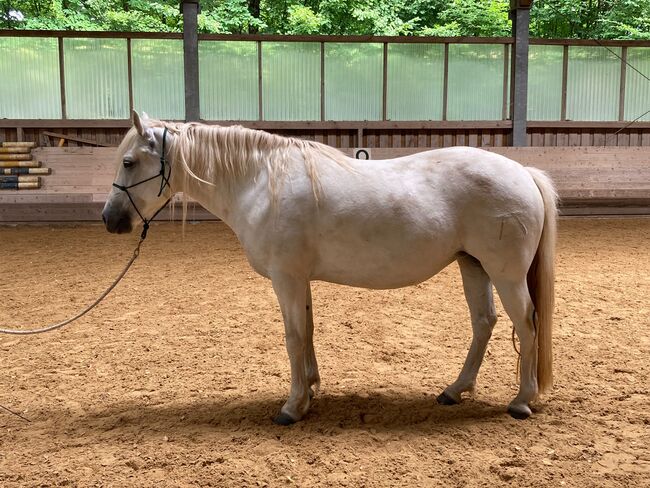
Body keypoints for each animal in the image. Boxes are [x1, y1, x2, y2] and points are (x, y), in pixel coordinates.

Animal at [104, 112, 556, 426]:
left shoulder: (286, 278)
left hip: (505, 273)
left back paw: (521, 401)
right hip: (472, 266)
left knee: (526, 323)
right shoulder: (299, 279)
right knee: (484, 322)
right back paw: (454, 390)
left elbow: (292, 337)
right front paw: (310, 391)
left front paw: (291, 407)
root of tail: (523, 172)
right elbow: (307, 332)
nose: (110, 219)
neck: (261, 182)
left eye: (128, 162)